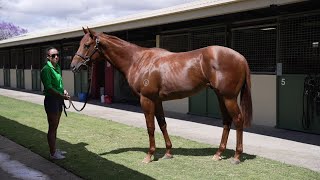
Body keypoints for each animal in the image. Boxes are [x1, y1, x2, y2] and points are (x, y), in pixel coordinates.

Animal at [70, 27, 252, 164]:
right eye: (80, 43)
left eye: (87, 45)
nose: (74, 66)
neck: (138, 60)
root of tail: (241, 57)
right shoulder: (157, 100)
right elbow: (162, 124)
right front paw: (168, 153)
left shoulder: (146, 99)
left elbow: (150, 127)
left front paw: (149, 155)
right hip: (221, 96)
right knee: (227, 121)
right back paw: (218, 153)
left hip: (228, 97)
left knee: (238, 120)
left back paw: (236, 156)